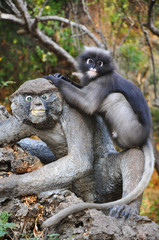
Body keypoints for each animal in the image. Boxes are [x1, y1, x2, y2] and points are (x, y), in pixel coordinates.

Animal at [42, 46, 155, 227]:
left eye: (100, 63)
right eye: (90, 61)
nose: (94, 67)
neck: (98, 75)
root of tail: (145, 136)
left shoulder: (104, 81)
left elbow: (88, 103)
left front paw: (55, 79)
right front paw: (63, 77)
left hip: (130, 130)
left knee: (114, 96)